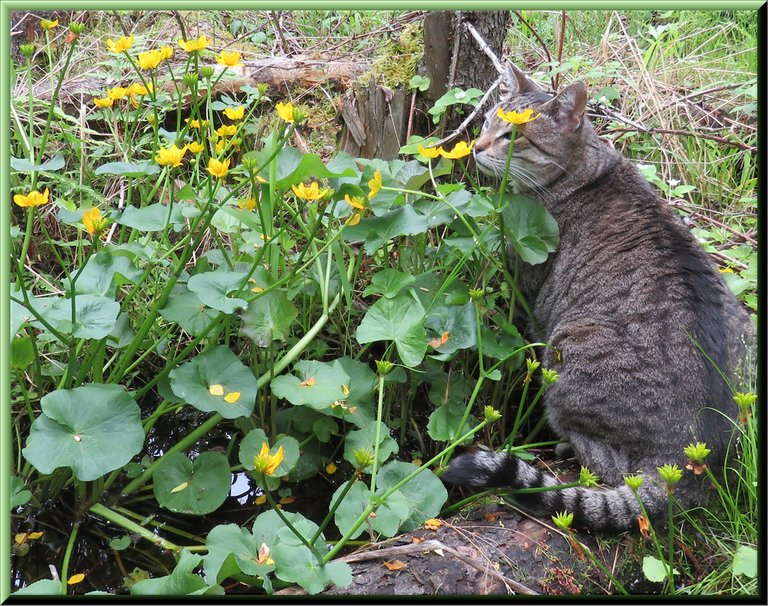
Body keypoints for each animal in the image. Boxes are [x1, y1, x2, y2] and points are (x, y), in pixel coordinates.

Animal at [440, 64, 760, 536]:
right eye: (486, 125)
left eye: (512, 136)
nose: (477, 147)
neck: (583, 169)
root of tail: (697, 461)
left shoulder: (528, 290)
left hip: (566, 352)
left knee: (604, 464)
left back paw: (566, 447)